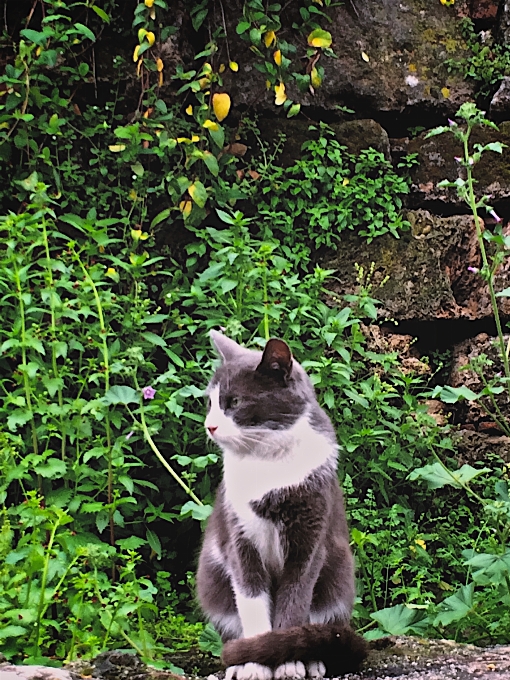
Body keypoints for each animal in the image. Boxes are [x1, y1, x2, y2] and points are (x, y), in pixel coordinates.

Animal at [195, 334, 366, 680]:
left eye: (234, 402)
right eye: (210, 403)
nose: (210, 426)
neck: (266, 462)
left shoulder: (310, 538)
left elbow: (295, 599)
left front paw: (288, 663)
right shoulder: (239, 537)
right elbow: (251, 599)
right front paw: (256, 665)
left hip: (339, 578)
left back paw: (311, 660)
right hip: (213, 580)